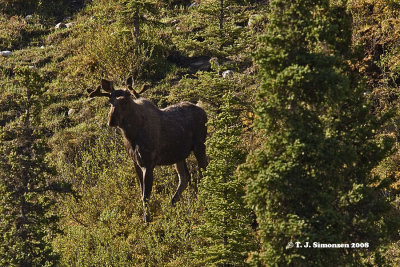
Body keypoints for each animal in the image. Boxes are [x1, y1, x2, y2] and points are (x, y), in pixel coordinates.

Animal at [86, 78, 206, 223]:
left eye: (125, 101)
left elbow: (146, 195)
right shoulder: (136, 163)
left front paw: (146, 219)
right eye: (110, 101)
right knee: (184, 178)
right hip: (179, 155)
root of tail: (204, 112)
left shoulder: (148, 163)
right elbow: (141, 192)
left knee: (204, 170)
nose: (111, 120)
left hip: (199, 145)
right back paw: (171, 204)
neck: (131, 135)